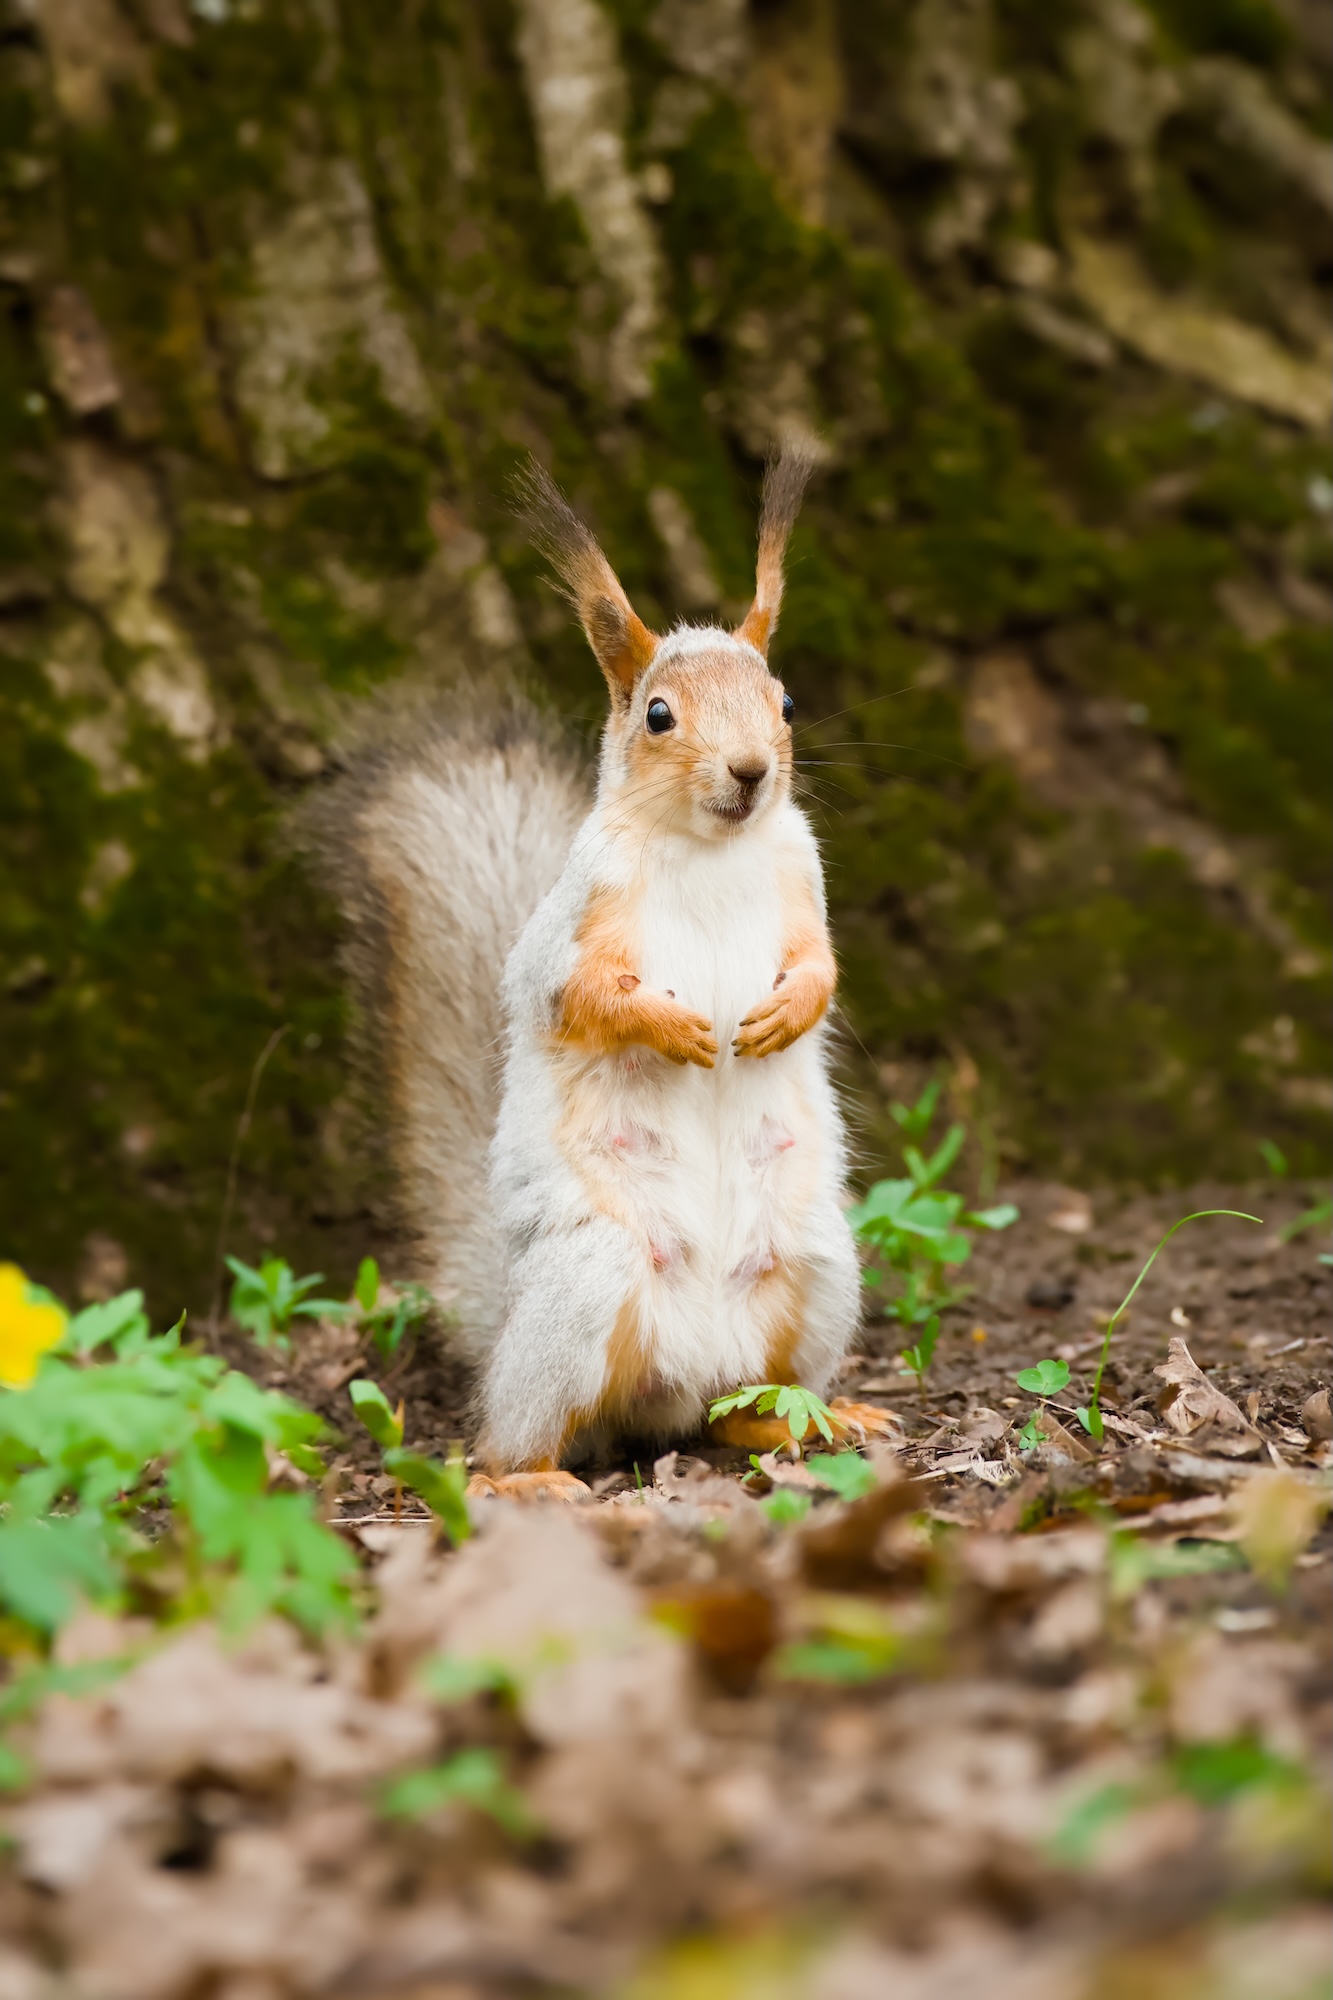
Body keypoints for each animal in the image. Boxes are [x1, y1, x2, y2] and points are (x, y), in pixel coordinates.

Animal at [312, 445, 893, 1497]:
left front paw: (785, 1014)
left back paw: (820, 1416)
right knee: (512, 1440)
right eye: (658, 714)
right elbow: (572, 994)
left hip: (816, 1263)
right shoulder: (576, 917)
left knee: (739, 1408)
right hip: (588, 1284)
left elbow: (822, 966)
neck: (711, 850)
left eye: (785, 702)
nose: (751, 771)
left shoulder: (804, 881)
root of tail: (676, 1378)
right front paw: (673, 1027)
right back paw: (531, 1475)